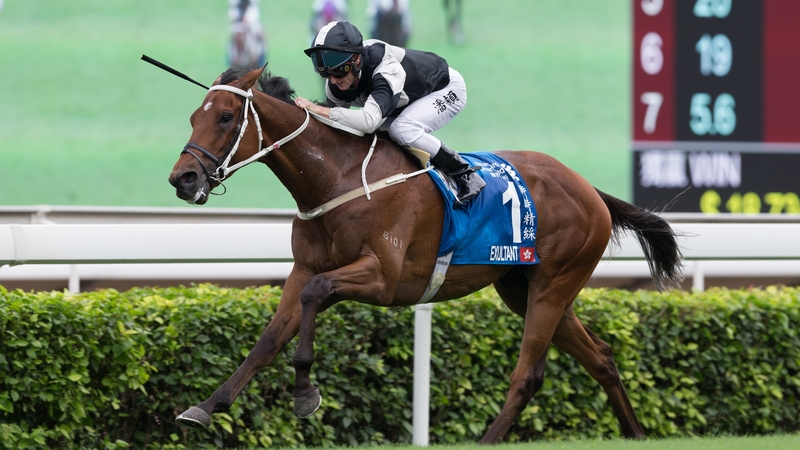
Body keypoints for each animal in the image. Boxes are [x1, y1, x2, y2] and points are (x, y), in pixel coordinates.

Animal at [167, 66, 683, 442]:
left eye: (226, 118)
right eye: (192, 116)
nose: (183, 179)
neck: (339, 176)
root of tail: (590, 189)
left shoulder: (384, 278)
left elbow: (316, 294)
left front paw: (304, 393)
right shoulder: (304, 267)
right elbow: (268, 340)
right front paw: (206, 407)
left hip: (554, 285)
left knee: (528, 374)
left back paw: (488, 440)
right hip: (525, 287)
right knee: (601, 358)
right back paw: (635, 434)